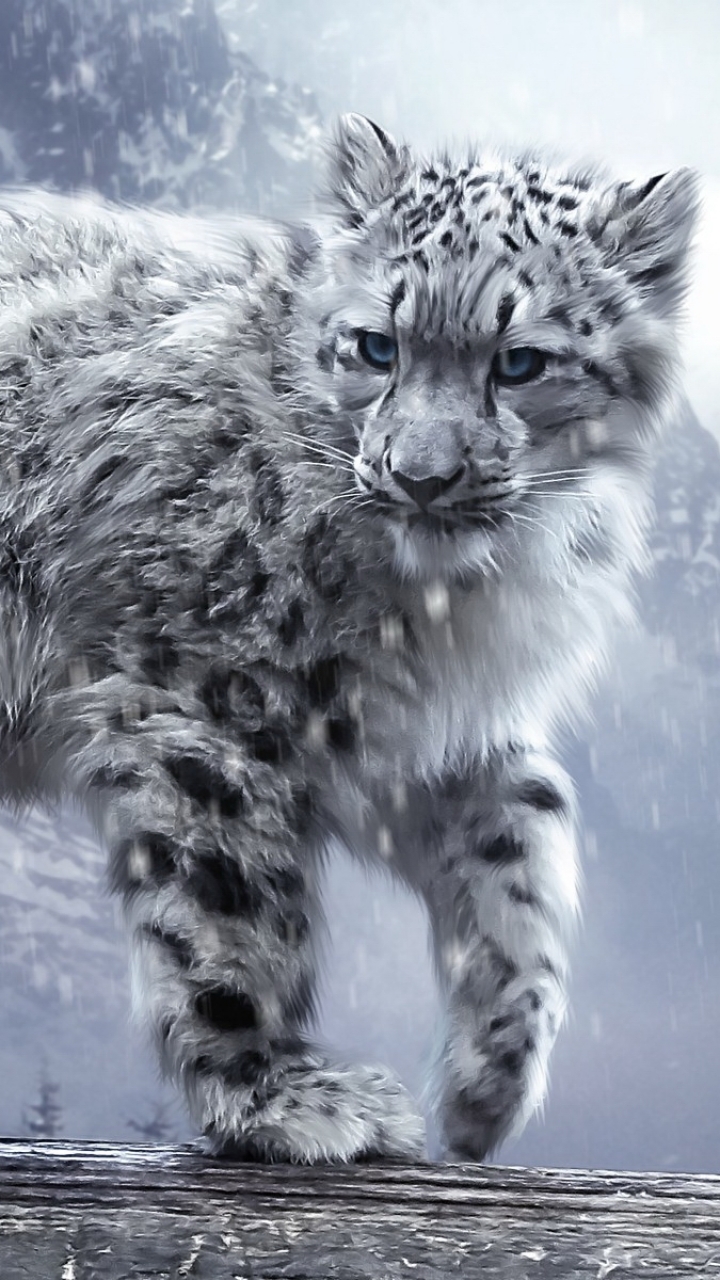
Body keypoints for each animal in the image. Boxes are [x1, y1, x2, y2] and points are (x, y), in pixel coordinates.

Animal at [0, 115, 697, 1162]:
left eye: (519, 362)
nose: (421, 476)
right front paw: (277, 1098)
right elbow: (229, 900)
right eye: (376, 346)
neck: (445, 605)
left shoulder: (417, 729)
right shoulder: (207, 700)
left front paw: (487, 1086)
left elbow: (525, 837)